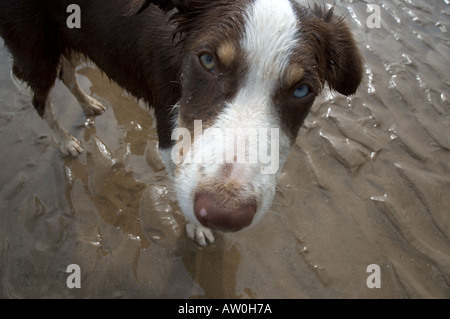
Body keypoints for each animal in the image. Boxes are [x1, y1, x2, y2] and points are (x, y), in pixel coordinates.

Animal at [0, 0, 364, 246]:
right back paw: (64, 141)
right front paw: (197, 226)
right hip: (34, 48)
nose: (224, 213)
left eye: (302, 90)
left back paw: (89, 104)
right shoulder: (168, 127)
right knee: (40, 99)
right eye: (207, 60)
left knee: (68, 74)